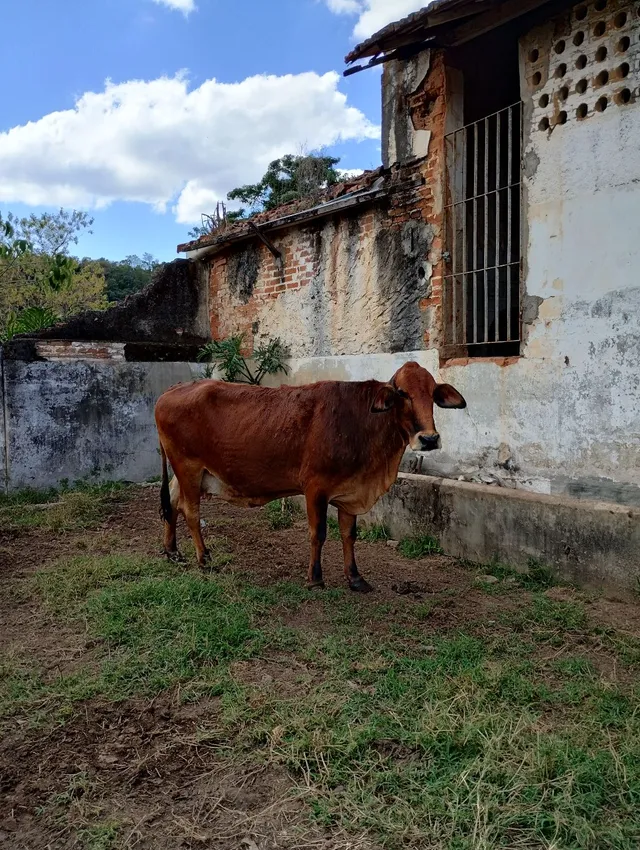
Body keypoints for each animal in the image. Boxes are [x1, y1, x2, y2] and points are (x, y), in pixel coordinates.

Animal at [154, 361, 466, 593]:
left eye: (433, 393)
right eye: (402, 393)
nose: (429, 439)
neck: (362, 421)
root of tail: (171, 390)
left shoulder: (349, 491)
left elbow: (348, 535)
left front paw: (355, 578)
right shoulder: (315, 488)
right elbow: (319, 533)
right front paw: (315, 577)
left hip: (185, 472)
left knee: (172, 504)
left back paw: (173, 552)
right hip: (189, 467)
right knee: (190, 511)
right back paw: (203, 558)